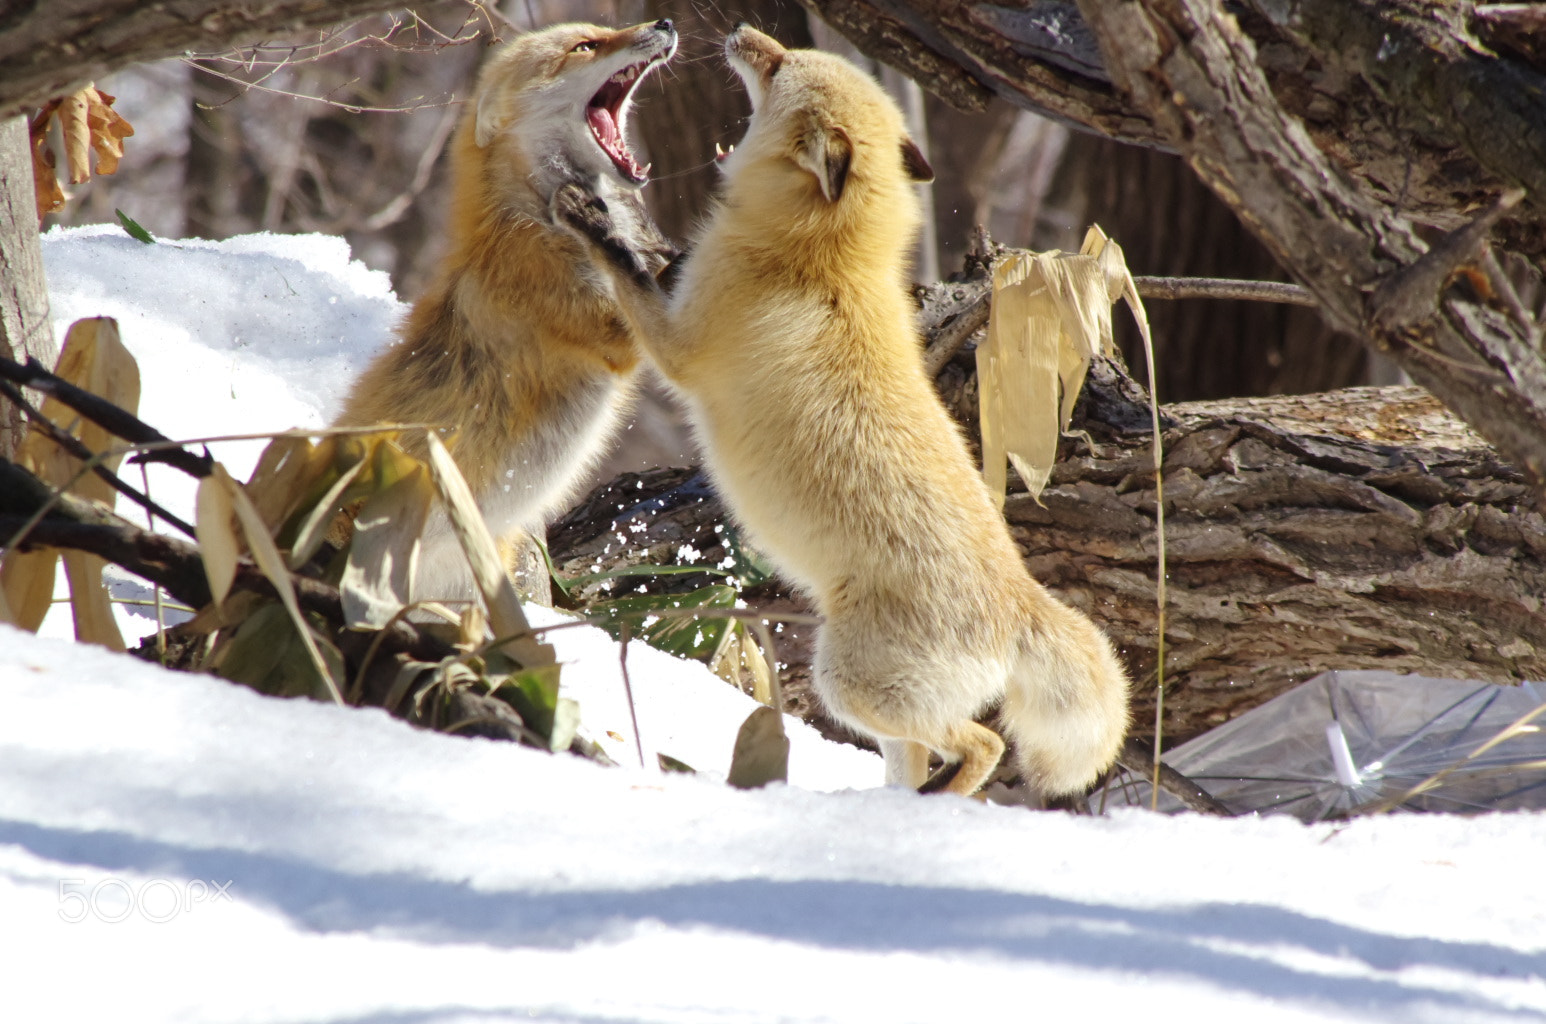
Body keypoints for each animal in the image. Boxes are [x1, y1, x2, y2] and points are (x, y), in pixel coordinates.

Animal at [338, 18, 677, 603]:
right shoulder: (614, 330)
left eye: (603, 31)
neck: (535, 219)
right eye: (585, 46)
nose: (664, 23)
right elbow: (642, 274)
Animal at [556, 26, 1125, 804]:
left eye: (777, 65)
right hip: (880, 709)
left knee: (982, 747)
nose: (739, 32)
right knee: (926, 756)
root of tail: (1019, 600)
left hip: (845, 683)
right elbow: (656, 262)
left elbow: (626, 270)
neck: (824, 254)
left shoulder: (678, 351)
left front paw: (594, 222)